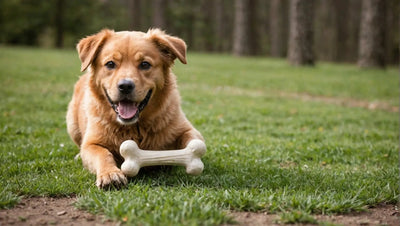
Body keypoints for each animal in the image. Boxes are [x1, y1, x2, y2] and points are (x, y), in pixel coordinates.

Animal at [66, 28, 203, 189]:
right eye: (110, 64)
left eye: (145, 64)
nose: (125, 86)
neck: (135, 127)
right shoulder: (91, 143)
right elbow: (102, 154)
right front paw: (110, 173)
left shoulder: (187, 129)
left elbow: (192, 140)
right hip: (72, 125)